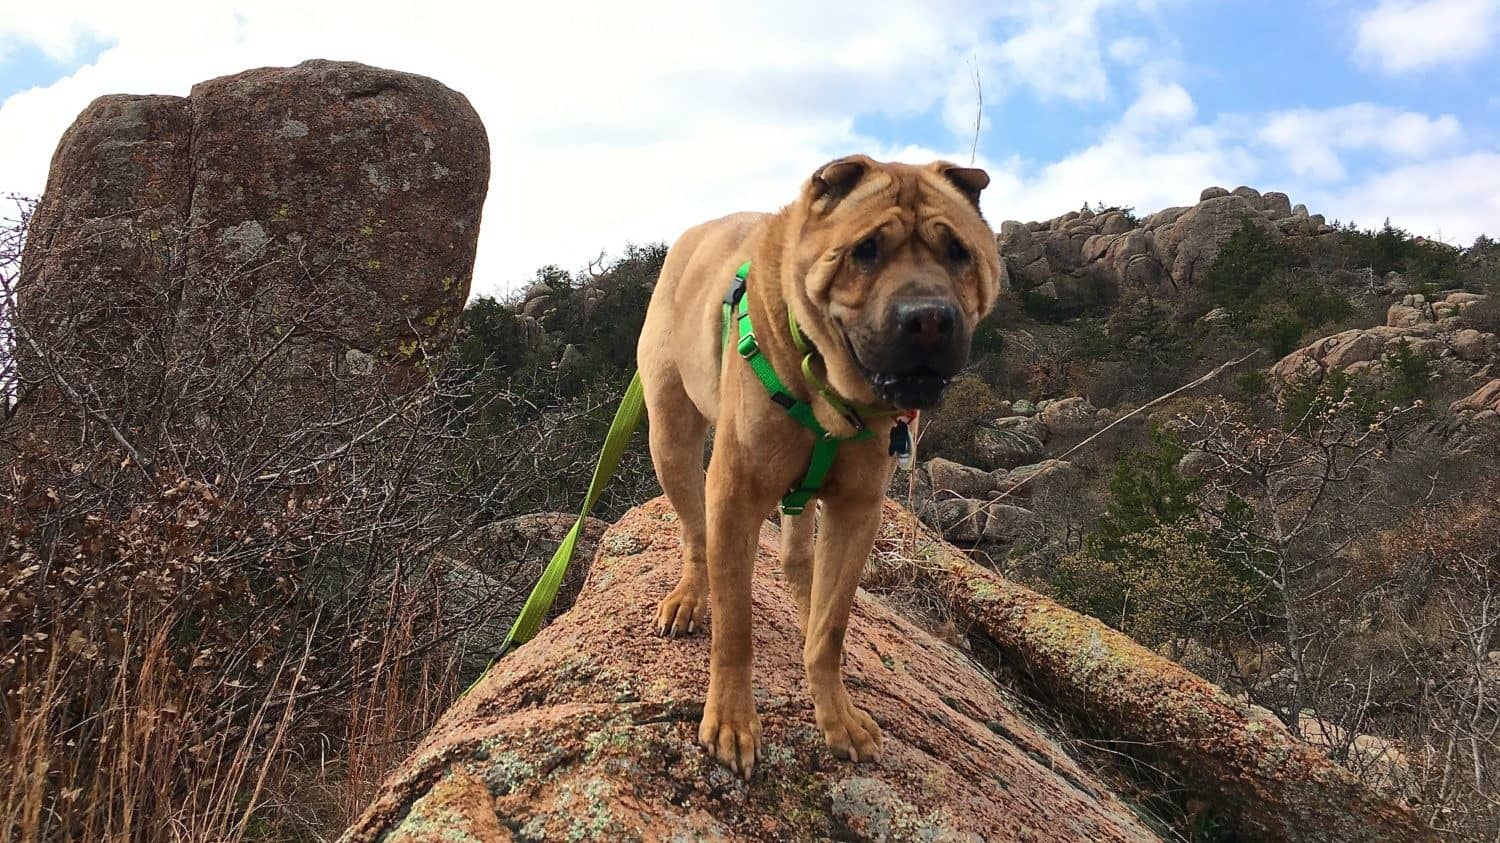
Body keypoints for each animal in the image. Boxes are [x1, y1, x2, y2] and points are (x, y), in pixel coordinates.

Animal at [636, 152, 1002, 774]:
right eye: (866, 250)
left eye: (958, 252)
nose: (929, 319)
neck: (829, 387)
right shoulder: (733, 496)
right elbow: (735, 628)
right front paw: (732, 721)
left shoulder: (857, 510)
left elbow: (829, 629)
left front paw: (838, 716)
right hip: (671, 440)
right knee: (695, 533)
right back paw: (689, 596)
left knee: (798, 557)